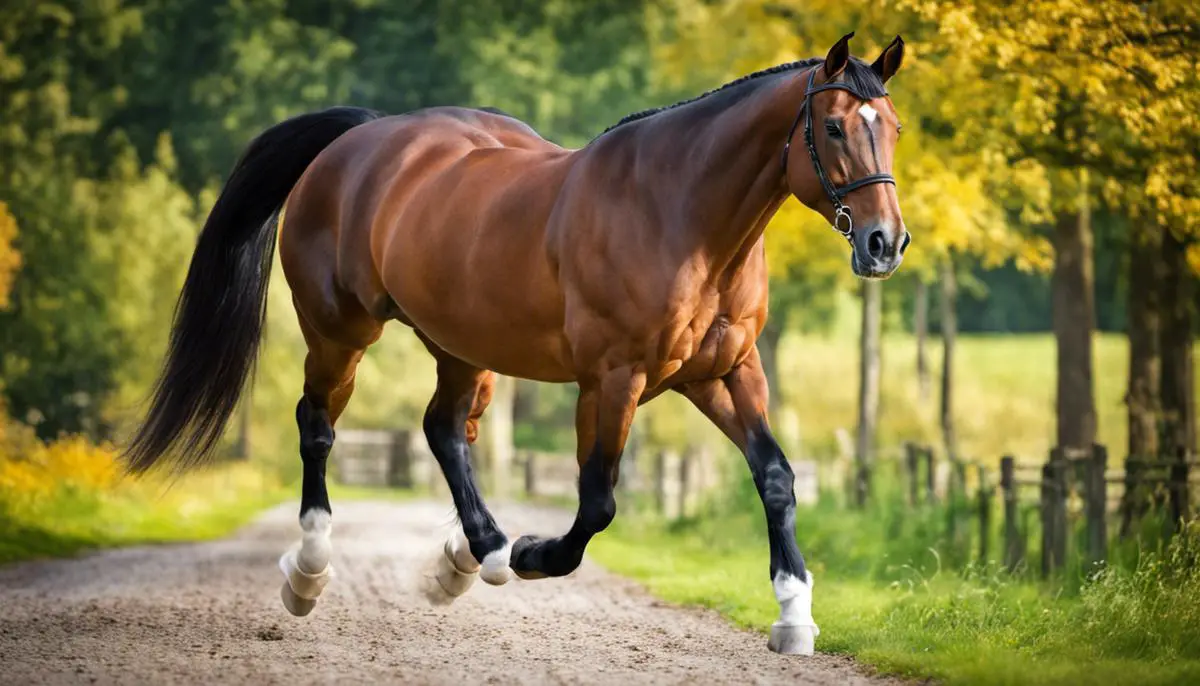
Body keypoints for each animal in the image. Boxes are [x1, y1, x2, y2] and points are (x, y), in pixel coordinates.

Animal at [126, 34, 902, 657]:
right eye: (834, 127)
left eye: (892, 128)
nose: (885, 243)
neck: (678, 211)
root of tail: (361, 139)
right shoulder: (613, 378)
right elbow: (597, 502)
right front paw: (533, 552)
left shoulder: (726, 372)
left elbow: (776, 477)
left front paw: (795, 615)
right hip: (339, 331)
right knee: (318, 427)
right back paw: (312, 574)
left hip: (462, 345)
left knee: (445, 430)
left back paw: (469, 555)